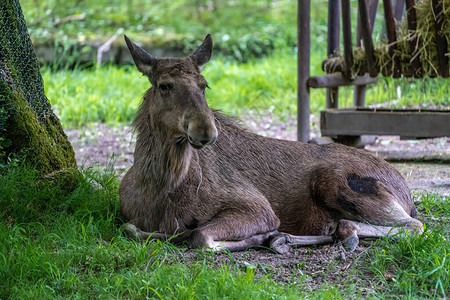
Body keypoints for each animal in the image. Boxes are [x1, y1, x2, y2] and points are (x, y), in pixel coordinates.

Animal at [118, 34, 422, 252]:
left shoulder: (258, 208)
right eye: (164, 85)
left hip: (338, 183)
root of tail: (407, 194)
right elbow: (132, 229)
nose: (205, 130)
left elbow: (200, 236)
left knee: (415, 225)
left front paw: (261, 236)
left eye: (204, 85)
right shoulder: (132, 218)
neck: (162, 186)